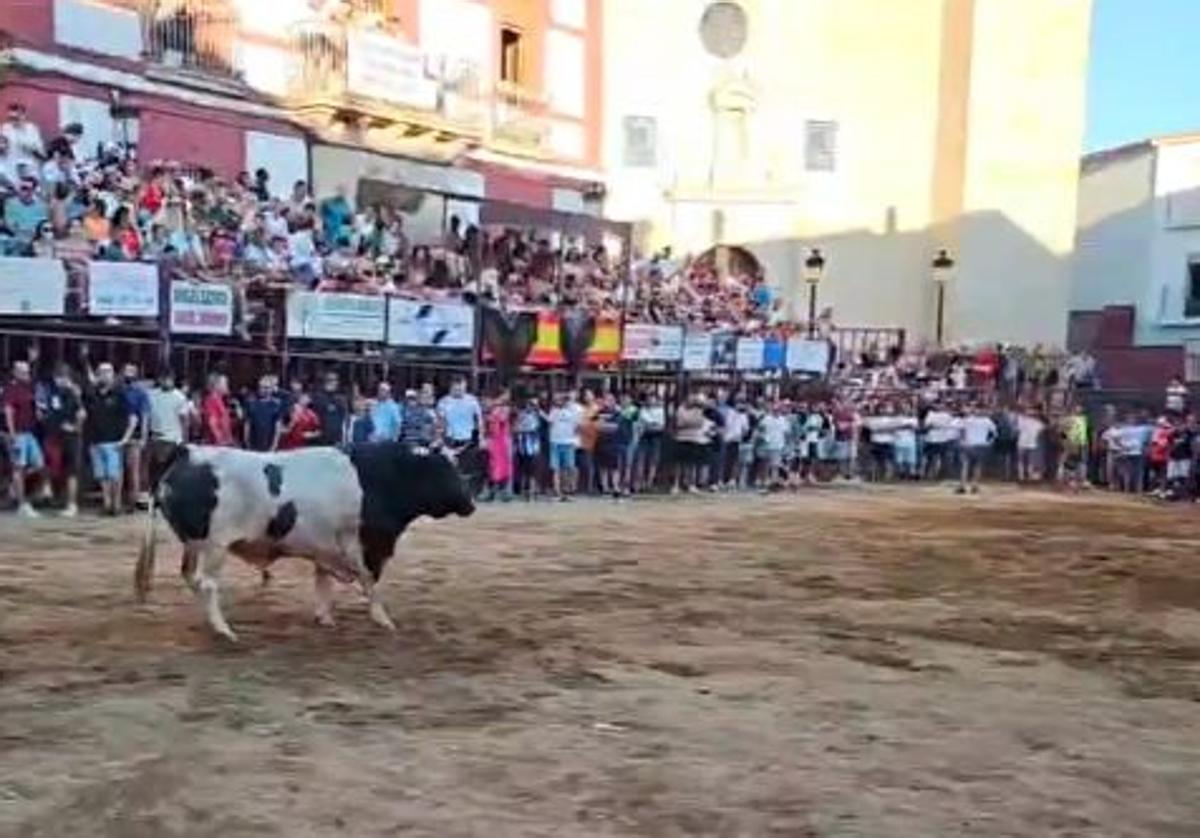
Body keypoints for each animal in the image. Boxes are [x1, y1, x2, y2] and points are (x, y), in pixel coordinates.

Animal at [138, 441, 475, 638]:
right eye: (444, 471)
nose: (470, 504)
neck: (382, 476)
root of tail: (187, 451)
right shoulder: (364, 545)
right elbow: (370, 583)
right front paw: (382, 620)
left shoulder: (327, 545)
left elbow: (323, 580)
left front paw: (324, 617)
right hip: (215, 546)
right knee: (207, 583)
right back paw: (223, 630)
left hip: (194, 545)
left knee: (190, 577)